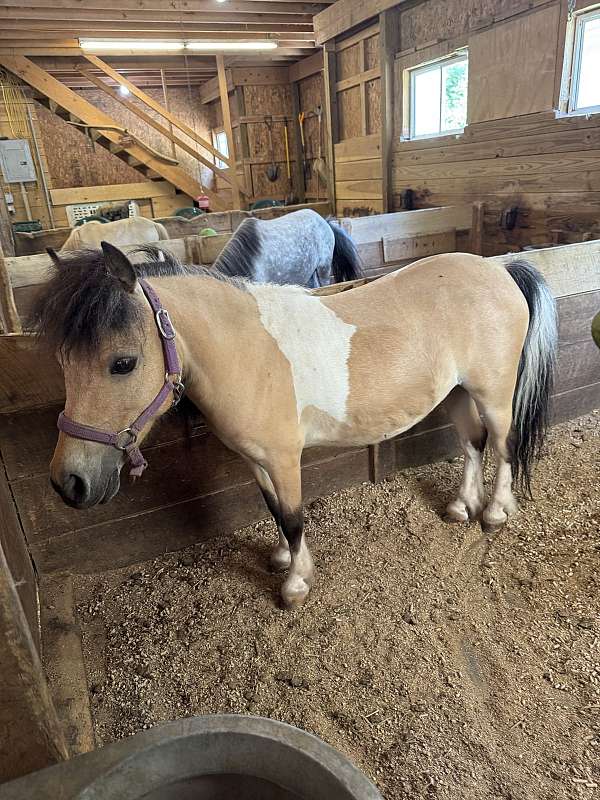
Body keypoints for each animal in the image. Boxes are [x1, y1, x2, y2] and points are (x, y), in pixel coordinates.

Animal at [37, 243, 557, 608]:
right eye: (61, 362)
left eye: (122, 363)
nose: (70, 483)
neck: (248, 351)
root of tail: (500, 269)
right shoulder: (256, 461)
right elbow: (273, 512)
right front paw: (286, 559)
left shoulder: (285, 458)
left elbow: (292, 516)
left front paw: (296, 582)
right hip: (455, 393)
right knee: (472, 445)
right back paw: (461, 506)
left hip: (493, 395)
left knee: (504, 445)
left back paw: (494, 511)